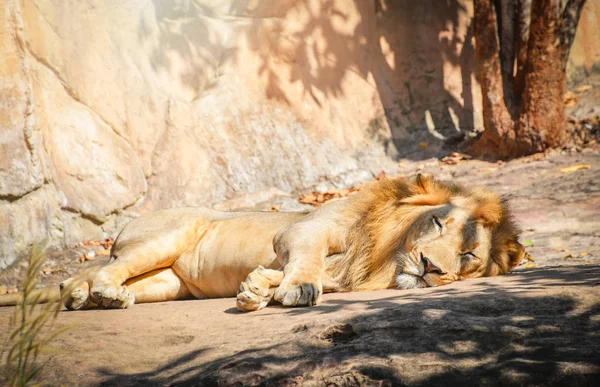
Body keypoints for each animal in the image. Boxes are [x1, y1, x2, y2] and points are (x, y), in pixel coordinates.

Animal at [16, 175, 524, 312]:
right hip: (166, 235)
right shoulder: (305, 230)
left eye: (468, 254)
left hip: (166, 283)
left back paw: (98, 297)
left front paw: (256, 288)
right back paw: (94, 293)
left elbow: (303, 272)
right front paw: (294, 290)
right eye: (437, 221)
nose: (429, 267)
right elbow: (309, 262)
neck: (384, 253)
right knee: (105, 267)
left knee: (121, 278)